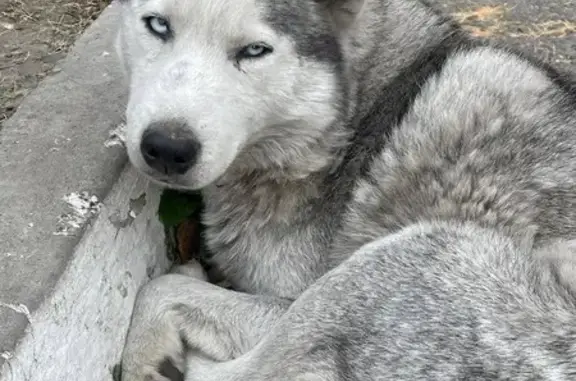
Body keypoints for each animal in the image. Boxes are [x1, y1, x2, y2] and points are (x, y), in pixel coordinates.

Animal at [113, 0, 576, 378]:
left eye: (254, 51)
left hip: (409, 255)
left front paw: (146, 357)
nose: (166, 148)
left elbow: (158, 289)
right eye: (158, 26)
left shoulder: (283, 302)